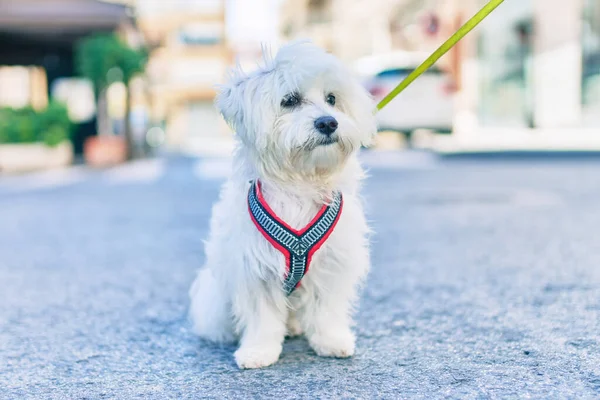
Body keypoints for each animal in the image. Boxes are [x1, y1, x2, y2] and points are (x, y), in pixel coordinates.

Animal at [189, 40, 376, 368]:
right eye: (289, 100)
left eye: (332, 99)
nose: (328, 121)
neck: (300, 181)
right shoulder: (254, 269)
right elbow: (262, 318)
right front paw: (258, 351)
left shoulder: (332, 263)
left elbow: (326, 310)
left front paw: (331, 341)